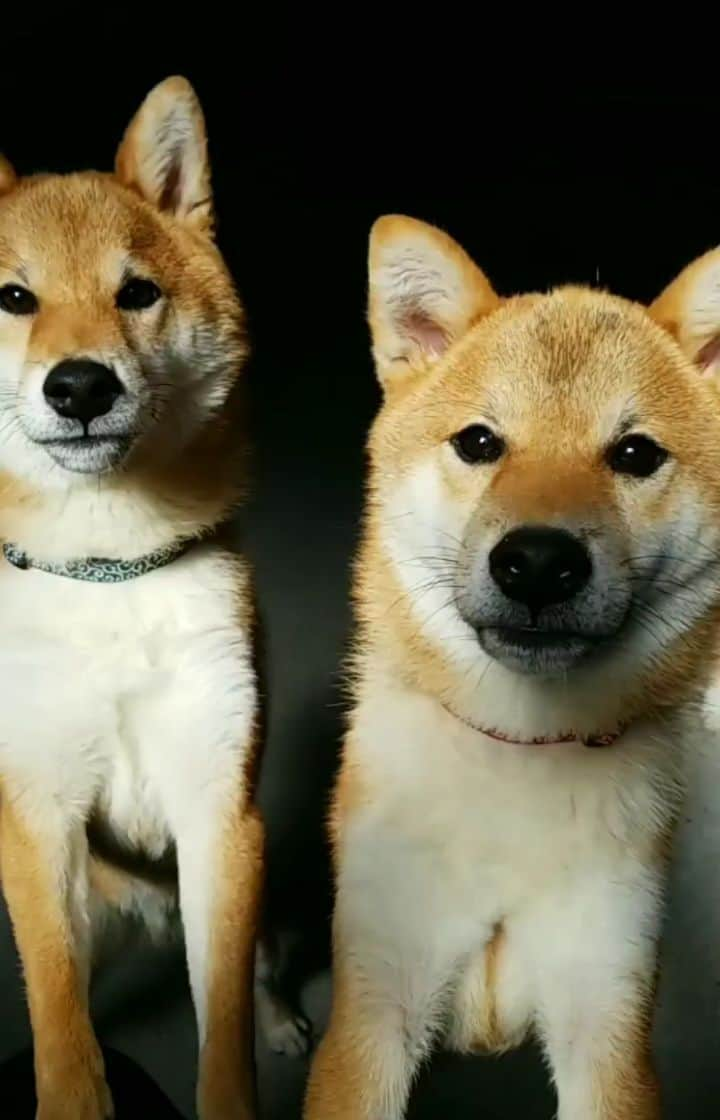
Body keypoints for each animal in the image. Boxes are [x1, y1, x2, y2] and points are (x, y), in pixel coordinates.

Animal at [0, 78, 262, 1120]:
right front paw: (74, 1092)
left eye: (136, 293)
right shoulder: (37, 818)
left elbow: (225, 1018)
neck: (106, 573)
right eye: (14, 298)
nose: (80, 385)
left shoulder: (218, 810)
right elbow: (58, 1020)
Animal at [304, 218, 720, 1120]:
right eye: (479, 443)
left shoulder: (607, 1019)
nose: (537, 563)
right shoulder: (374, 1008)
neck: (520, 753)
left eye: (635, 453)